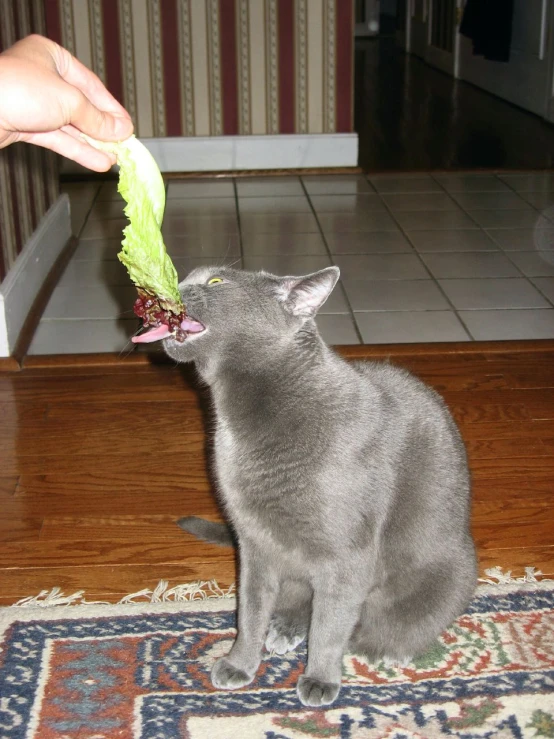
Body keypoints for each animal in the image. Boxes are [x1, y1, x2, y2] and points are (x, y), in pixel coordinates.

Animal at [160, 268, 474, 712]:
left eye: (216, 281)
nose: (175, 283)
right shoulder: (254, 543)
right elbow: (250, 613)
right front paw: (240, 664)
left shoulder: (347, 555)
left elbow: (330, 625)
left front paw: (320, 678)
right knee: (297, 602)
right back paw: (286, 630)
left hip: (444, 575)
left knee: (384, 624)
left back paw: (387, 650)